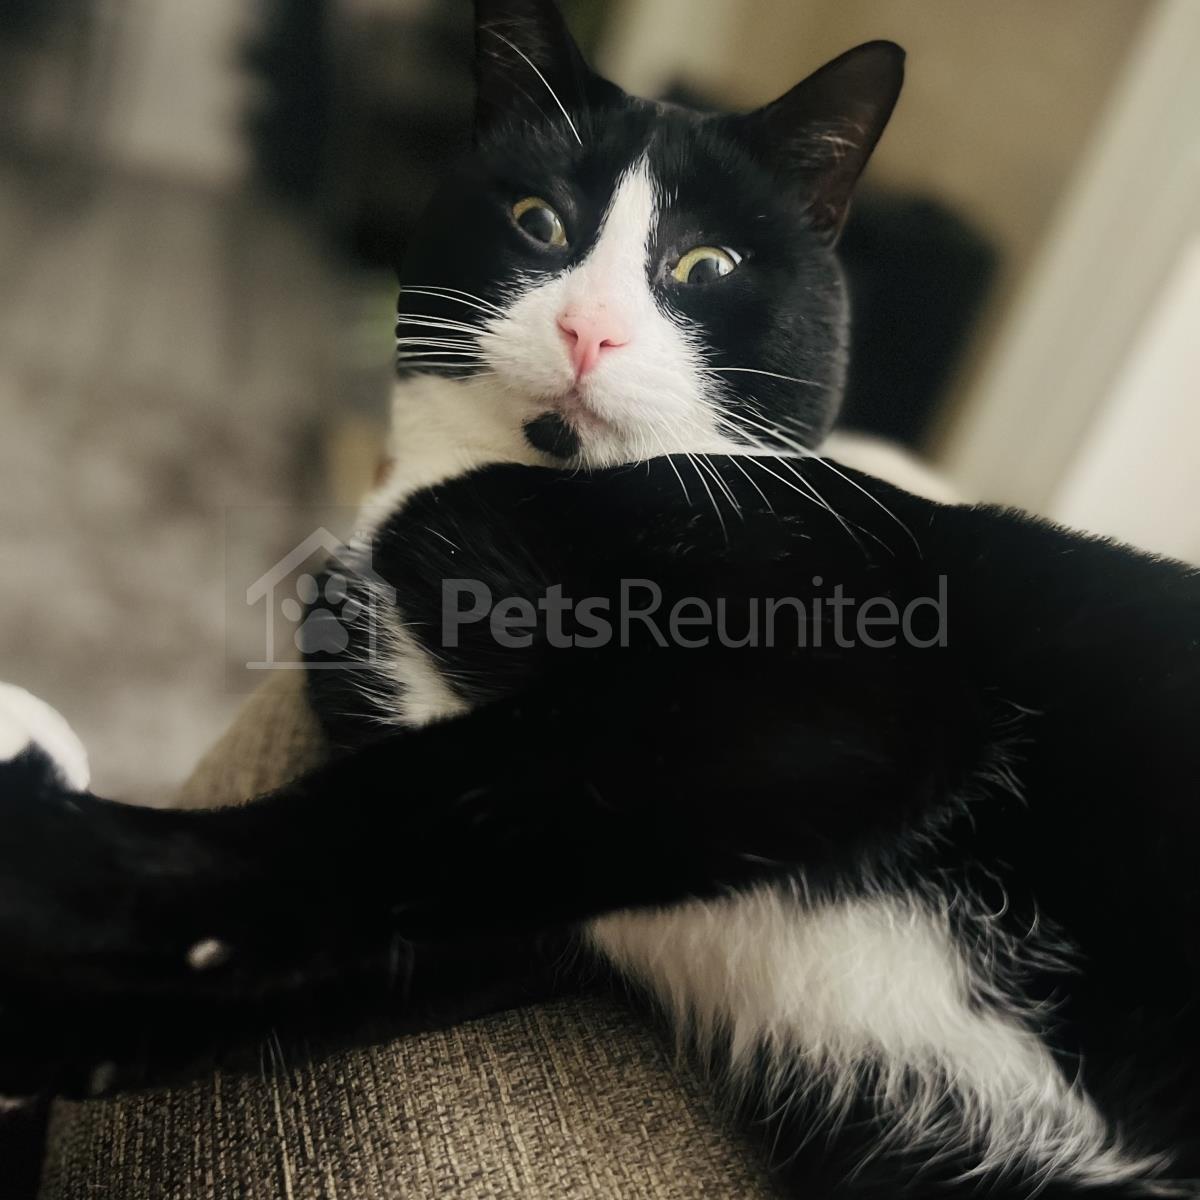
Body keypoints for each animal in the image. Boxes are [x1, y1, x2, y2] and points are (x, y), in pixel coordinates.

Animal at [0, 1, 1198, 1196]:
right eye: (539, 221)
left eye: (705, 263)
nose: (590, 331)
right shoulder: (508, 896)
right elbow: (350, 923)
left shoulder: (835, 682)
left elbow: (404, 796)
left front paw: (60, 861)